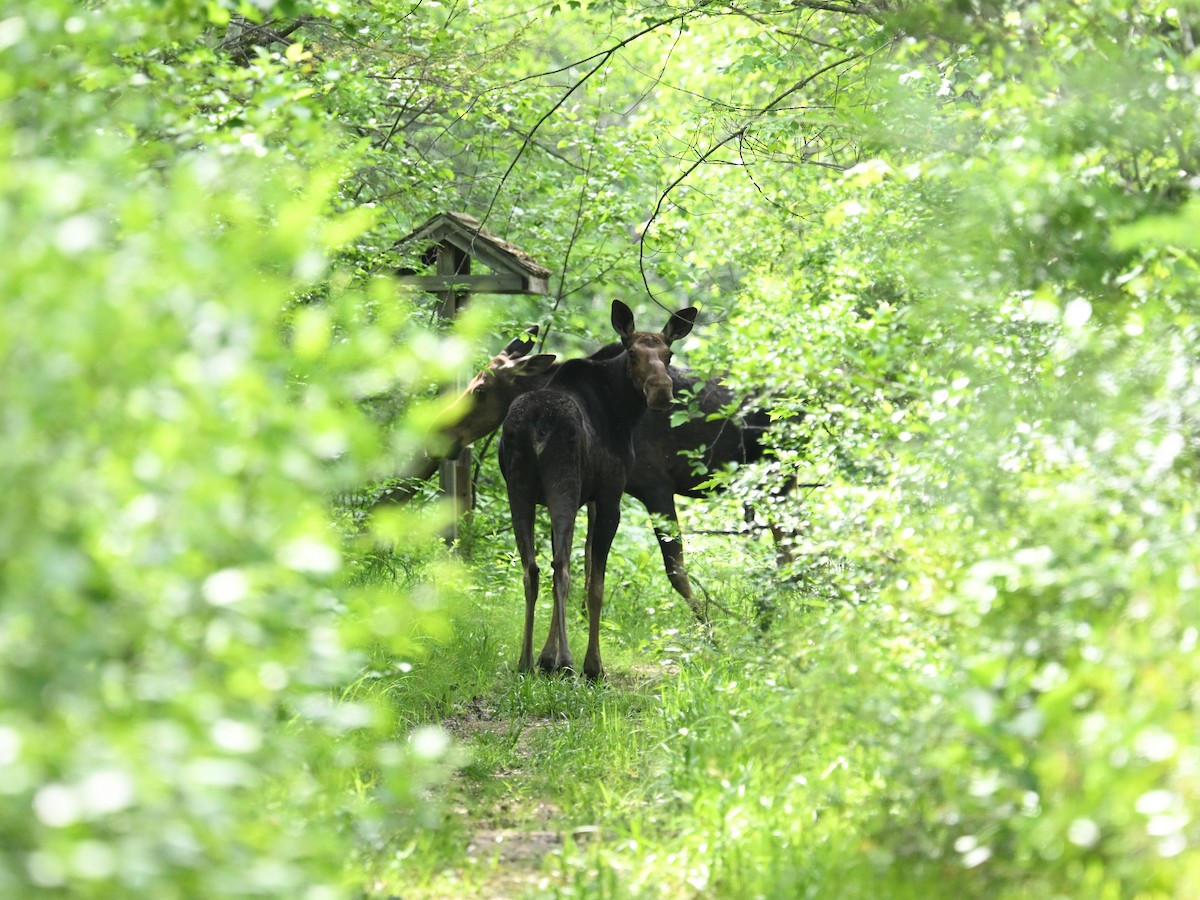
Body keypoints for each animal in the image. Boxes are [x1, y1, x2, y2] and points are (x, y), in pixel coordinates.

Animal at [499, 300, 697, 679]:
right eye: (633, 352)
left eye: (668, 353)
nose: (661, 392)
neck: (623, 410)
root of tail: (536, 427)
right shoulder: (608, 496)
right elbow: (595, 585)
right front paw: (591, 664)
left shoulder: (581, 501)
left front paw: (546, 657)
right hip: (563, 482)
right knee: (560, 566)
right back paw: (568, 661)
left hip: (520, 490)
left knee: (532, 568)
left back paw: (525, 661)